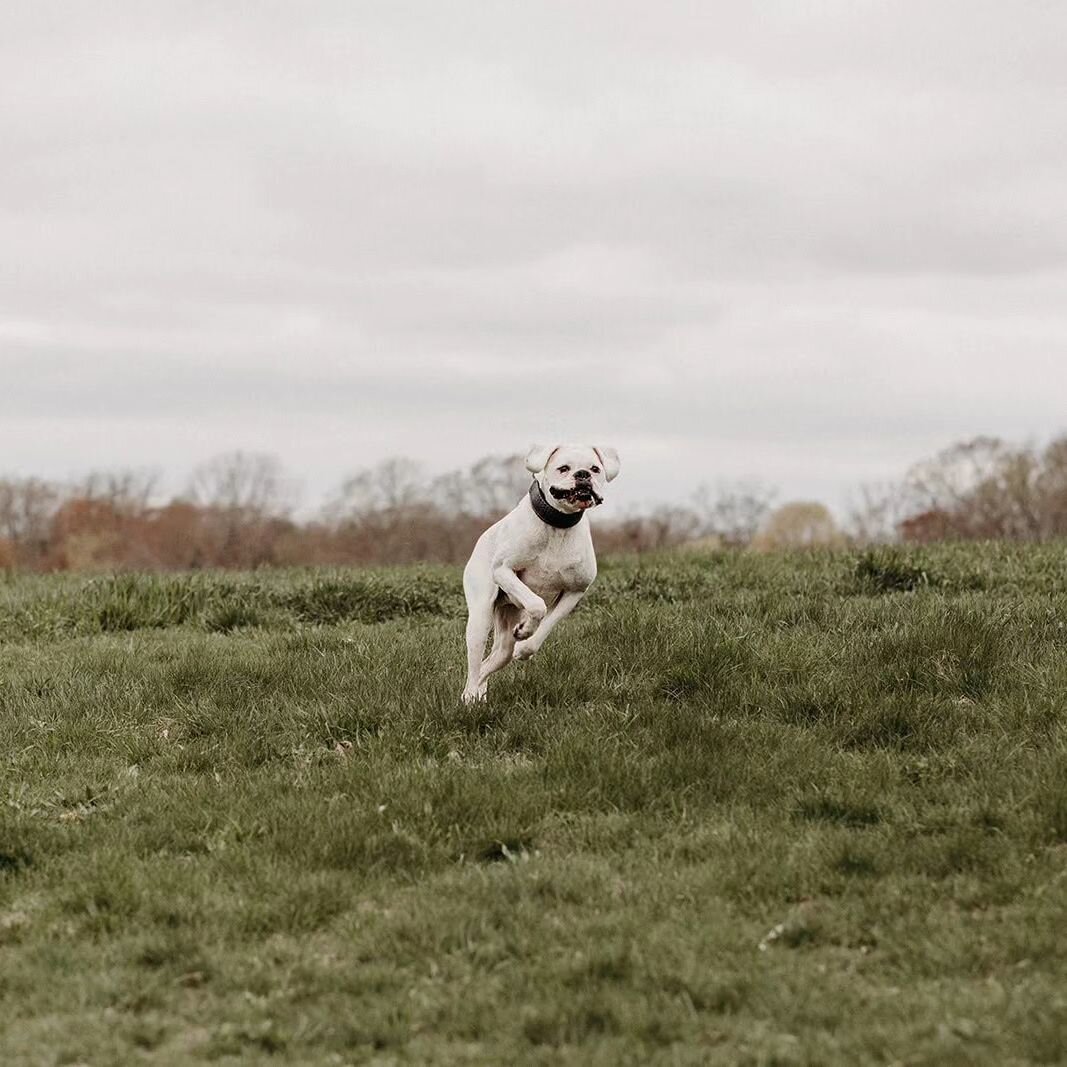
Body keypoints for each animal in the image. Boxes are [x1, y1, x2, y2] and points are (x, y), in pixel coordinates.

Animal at [458, 439, 618, 699]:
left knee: (495, 659)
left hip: (506, 622)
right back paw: (470, 695)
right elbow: (537, 605)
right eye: (564, 468)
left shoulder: (575, 591)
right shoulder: (504, 570)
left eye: (595, 469)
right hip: (480, 617)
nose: (582, 475)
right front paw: (525, 631)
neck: (558, 525)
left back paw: (481, 689)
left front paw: (524, 645)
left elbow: (546, 624)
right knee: (475, 663)